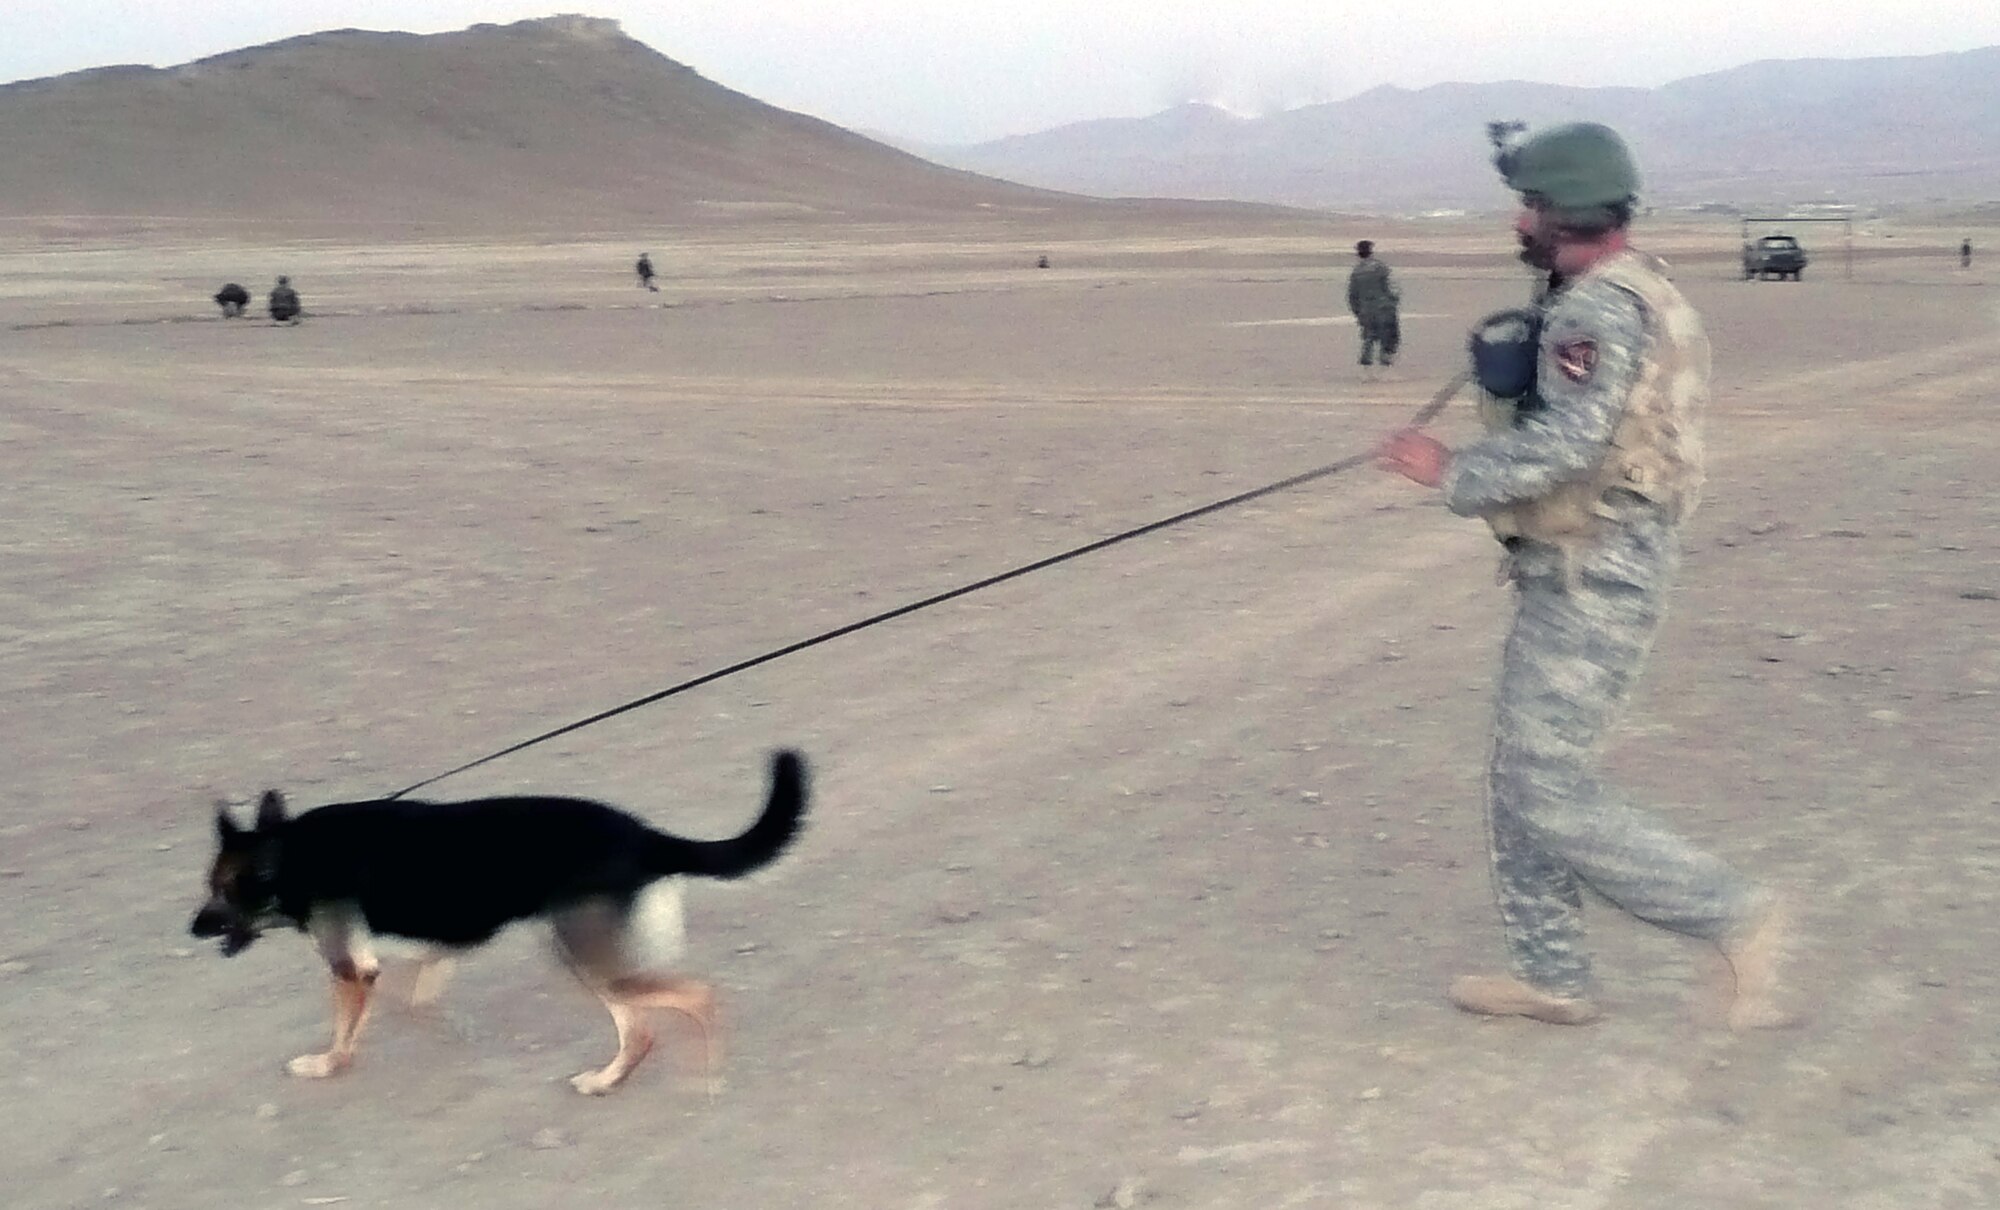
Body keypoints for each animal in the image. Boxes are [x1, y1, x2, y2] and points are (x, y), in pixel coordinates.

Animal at [189, 744, 804, 1096]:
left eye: (221, 893)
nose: (192, 928)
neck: (292, 854)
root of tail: (643, 836)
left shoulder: (350, 970)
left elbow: (345, 1031)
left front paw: (327, 1065)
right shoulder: (435, 950)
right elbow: (421, 1000)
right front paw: (448, 1031)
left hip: (586, 959)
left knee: (690, 1001)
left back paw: (702, 1072)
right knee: (644, 1028)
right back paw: (610, 1082)